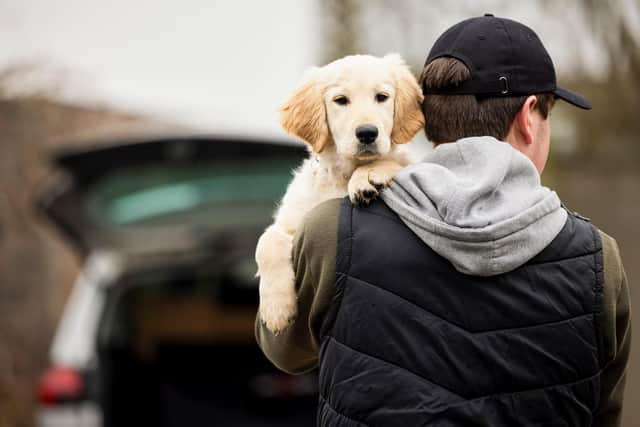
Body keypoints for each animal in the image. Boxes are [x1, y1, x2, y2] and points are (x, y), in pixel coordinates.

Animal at [255, 54, 424, 334]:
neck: (343, 174)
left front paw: (368, 176)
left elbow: (395, 162)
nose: (367, 133)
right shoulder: (292, 222)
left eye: (382, 97)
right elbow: (266, 242)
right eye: (341, 100)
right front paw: (276, 309)